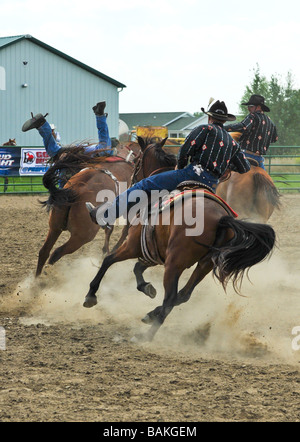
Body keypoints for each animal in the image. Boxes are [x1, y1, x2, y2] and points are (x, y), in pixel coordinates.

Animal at [83, 137, 276, 342]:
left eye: (137, 162)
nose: (133, 180)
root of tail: (221, 218)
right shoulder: (155, 252)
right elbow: (137, 268)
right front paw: (147, 288)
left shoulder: (133, 245)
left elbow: (108, 260)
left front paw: (91, 295)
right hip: (204, 264)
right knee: (183, 295)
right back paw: (151, 315)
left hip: (175, 263)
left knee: (170, 298)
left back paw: (146, 336)